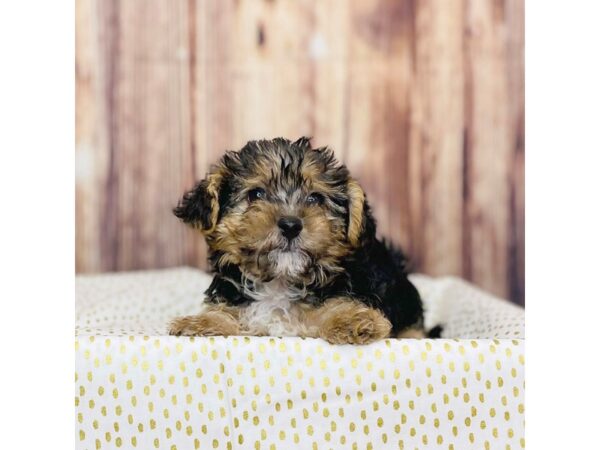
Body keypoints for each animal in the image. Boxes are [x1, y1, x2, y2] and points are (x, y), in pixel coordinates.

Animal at [169, 137, 426, 344]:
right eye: (256, 194)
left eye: (316, 198)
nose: (291, 225)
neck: (280, 282)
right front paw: (200, 323)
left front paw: (353, 319)